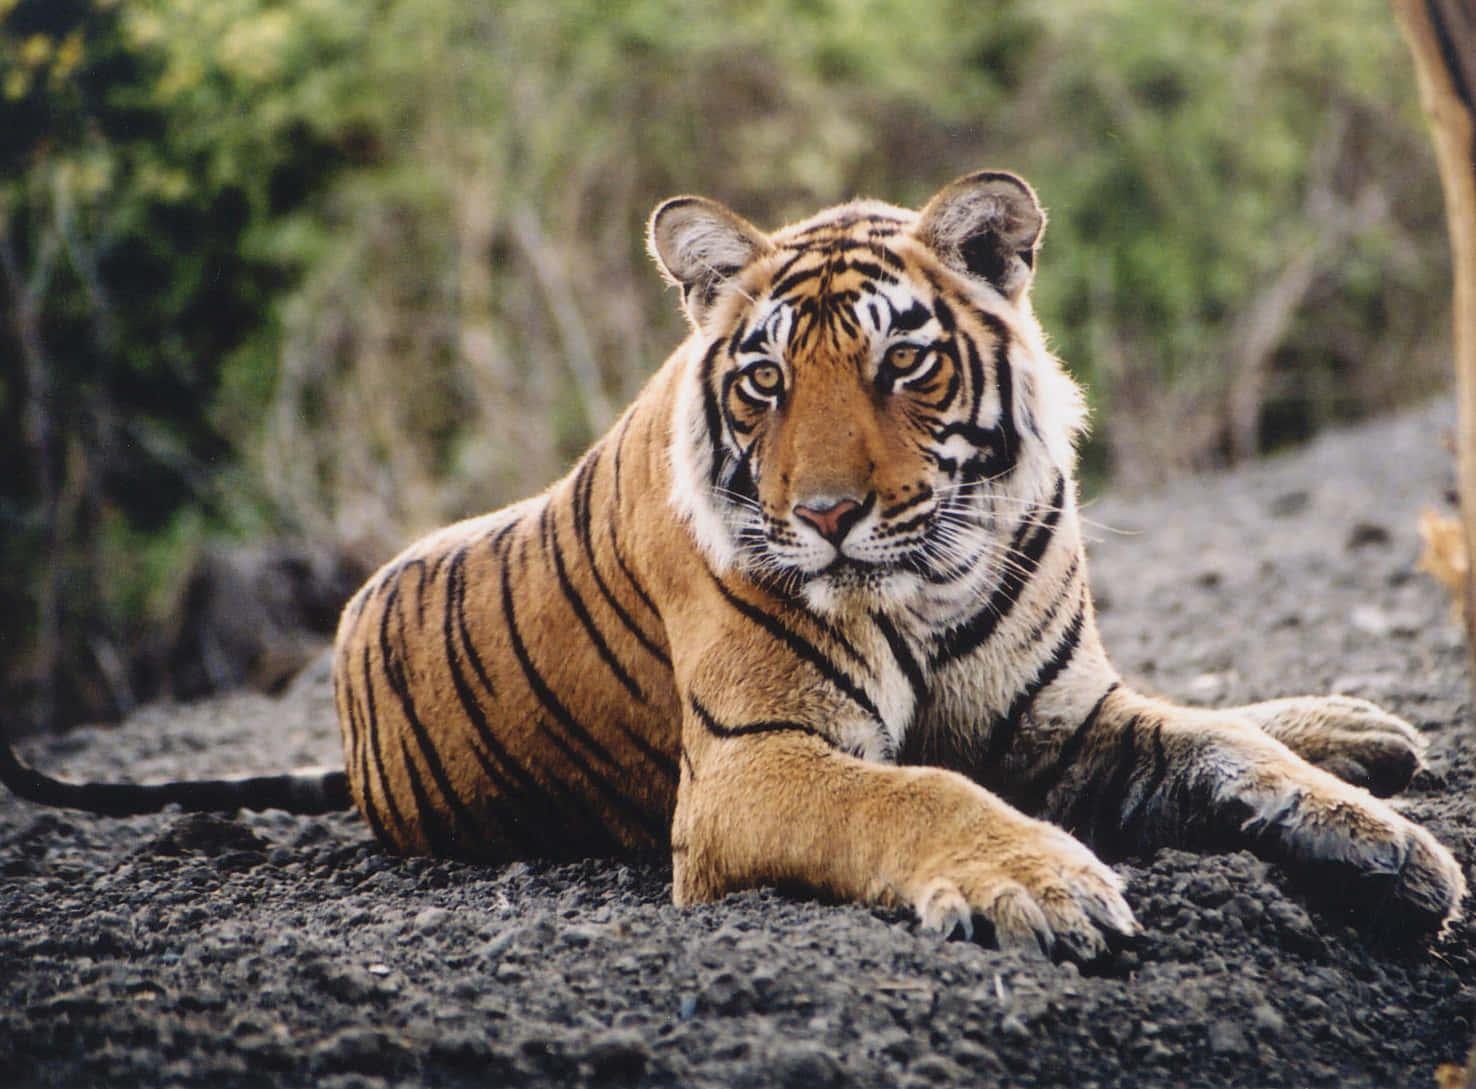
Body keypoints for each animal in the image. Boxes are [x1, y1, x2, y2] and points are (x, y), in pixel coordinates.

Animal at [2, 171, 1464, 957]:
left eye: (903, 362)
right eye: (765, 380)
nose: (824, 514)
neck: (930, 579)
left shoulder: (1068, 721)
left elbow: (1225, 750)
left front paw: (1392, 854)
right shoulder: (754, 767)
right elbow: (918, 793)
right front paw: (1048, 884)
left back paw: (1360, 730)